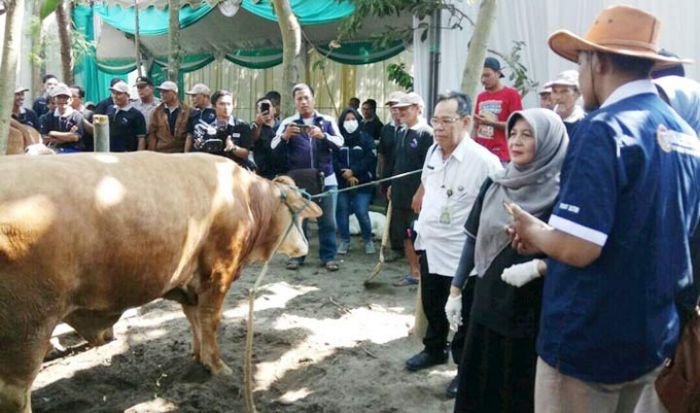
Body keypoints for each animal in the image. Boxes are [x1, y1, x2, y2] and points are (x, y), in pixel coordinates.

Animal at [0, 152, 322, 412]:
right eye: (298, 212)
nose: (305, 246)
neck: (246, 198)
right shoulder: (219, 273)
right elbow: (210, 321)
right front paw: (218, 366)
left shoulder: (191, 284)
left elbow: (195, 321)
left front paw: (199, 357)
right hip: (27, 328)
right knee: (15, 394)